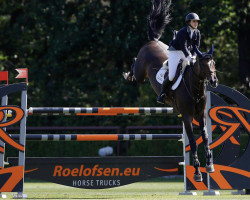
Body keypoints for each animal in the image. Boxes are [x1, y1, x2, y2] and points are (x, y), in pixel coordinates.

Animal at [124, 0, 218, 181]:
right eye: (203, 64)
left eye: (213, 63)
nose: (214, 81)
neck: (194, 88)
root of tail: (153, 41)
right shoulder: (187, 116)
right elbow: (193, 142)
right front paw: (197, 173)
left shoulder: (201, 114)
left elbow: (205, 137)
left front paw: (210, 164)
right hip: (140, 74)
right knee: (134, 65)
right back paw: (127, 74)